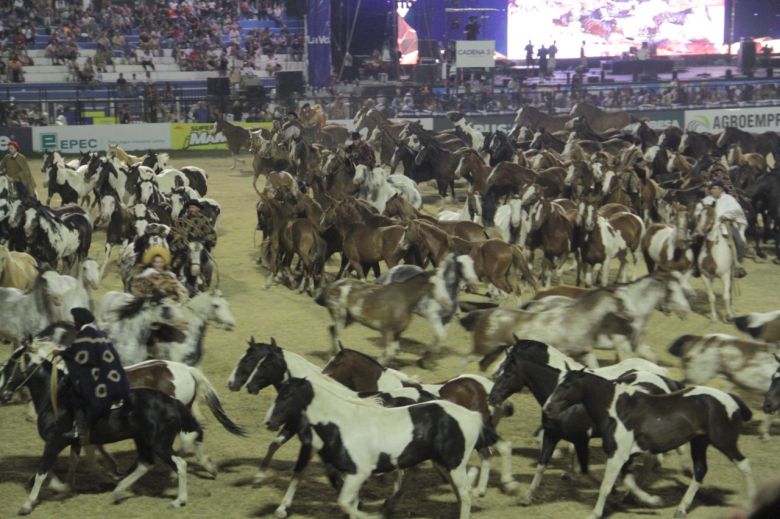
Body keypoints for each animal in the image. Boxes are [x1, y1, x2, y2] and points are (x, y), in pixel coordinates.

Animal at [544, 370, 756, 519]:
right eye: (558, 383)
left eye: (567, 385)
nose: (547, 409)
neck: (618, 410)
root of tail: (733, 400)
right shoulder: (626, 455)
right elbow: (629, 481)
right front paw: (652, 501)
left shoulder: (618, 455)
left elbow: (606, 487)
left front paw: (595, 514)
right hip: (699, 442)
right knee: (699, 470)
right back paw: (681, 509)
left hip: (724, 442)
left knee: (744, 464)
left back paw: (751, 503)